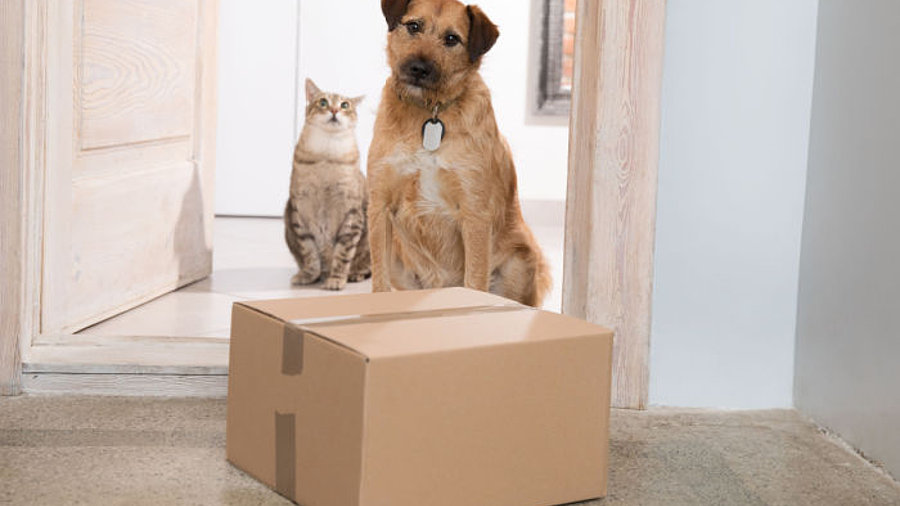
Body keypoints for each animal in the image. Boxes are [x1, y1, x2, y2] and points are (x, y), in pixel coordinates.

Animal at [284, 80, 370, 290]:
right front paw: (308, 275)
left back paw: (354, 275)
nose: (334, 110)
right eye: (323, 102)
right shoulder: (299, 211)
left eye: (345, 105)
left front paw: (336, 279)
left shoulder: (351, 215)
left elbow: (343, 254)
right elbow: (309, 253)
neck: (326, 156)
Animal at [364, 0, 548, 306]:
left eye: (452, 39)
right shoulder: (380, 204)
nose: (418, 69)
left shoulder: (474, 214)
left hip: (519, 263)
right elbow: (378, 281)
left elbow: (474, 280)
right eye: (414, 26)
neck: (430, 112)